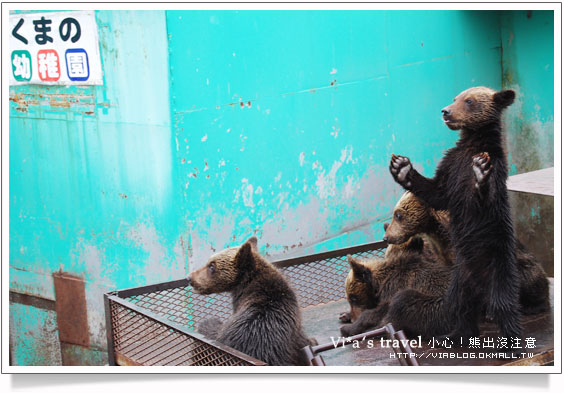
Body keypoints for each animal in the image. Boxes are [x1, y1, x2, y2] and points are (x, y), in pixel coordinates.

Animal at [390, 86, 524, 344]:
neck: (472, 142)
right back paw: (454, 334)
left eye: (469, 101)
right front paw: (401, 167)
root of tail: (479, 285)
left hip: (499, 265)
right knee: (459, 305)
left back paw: (511, 343)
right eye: (455, 98)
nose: (446, 111)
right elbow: (436, 192)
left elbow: (483, 196)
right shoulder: (451, 166)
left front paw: (480, 172)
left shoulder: (494, 169)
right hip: (459, 277)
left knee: (504, 305)